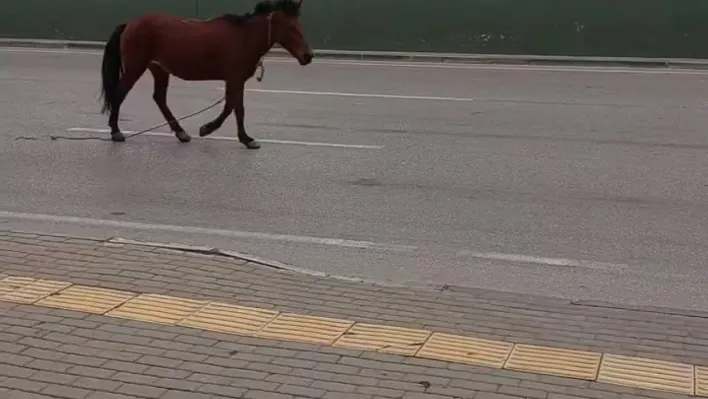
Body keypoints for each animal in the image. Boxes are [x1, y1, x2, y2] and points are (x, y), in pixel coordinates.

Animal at [98, 0, 314, 148]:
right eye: (290, 27)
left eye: (300, 26)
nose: (308, 56)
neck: (244, 36)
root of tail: (130, 24)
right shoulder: (234, 79)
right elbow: (233, 108)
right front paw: (213, 130)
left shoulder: (236, 80)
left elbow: (235, 108)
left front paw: (241, 137)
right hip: (136, 67)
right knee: (119, 93)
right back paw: (116, 132)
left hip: (159, 69)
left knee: (159, 98)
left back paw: (181, 133)